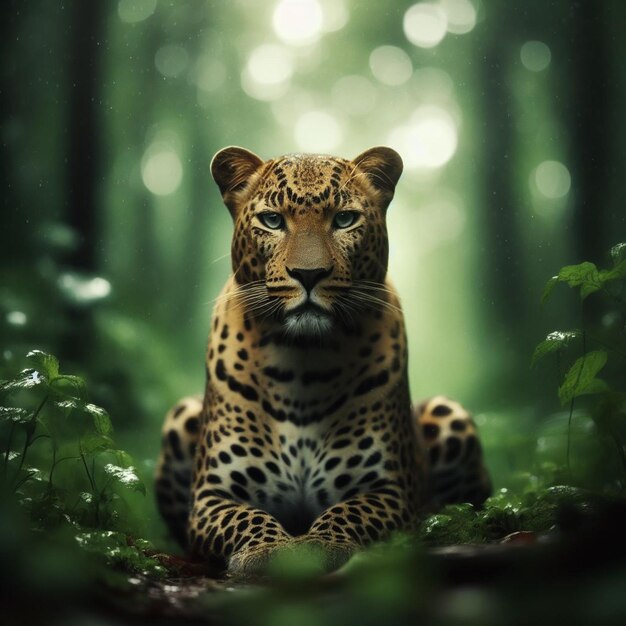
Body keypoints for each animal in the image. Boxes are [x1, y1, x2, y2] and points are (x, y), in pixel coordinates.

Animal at [155, 146, 488, 576]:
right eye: (272, 220)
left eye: (344, 219)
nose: (309, 274)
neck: (303, 363)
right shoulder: (212, 496)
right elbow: (248, 517)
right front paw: (267, 549)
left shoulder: (390, 491)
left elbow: (348, 513)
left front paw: (319, 545)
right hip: (182, 414)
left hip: (448, 412)